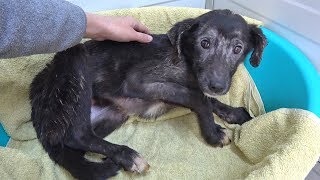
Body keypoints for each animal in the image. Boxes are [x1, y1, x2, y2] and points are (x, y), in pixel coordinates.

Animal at [30, 10, 266, 180]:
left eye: (238, 49)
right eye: (204, 43)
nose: (217, 85)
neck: (185, 59)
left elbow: (207, 98)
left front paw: (233, 112)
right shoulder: (138, 81)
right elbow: (198, 98)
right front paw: (213, 133)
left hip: (113, 115)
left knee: (75, 145)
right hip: (75, 64)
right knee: (77, 135)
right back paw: (128, 156)